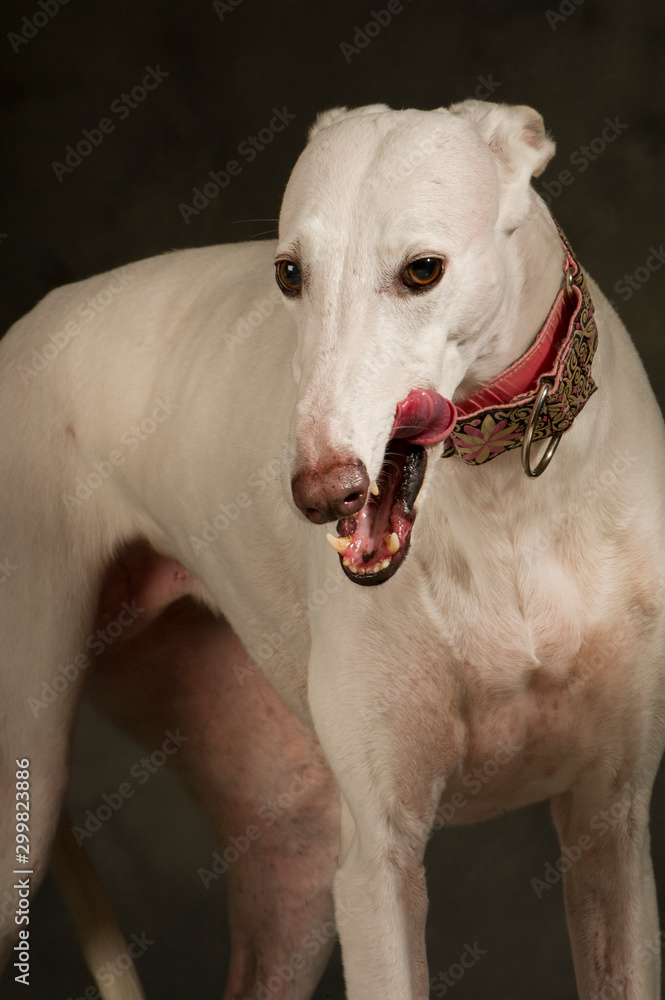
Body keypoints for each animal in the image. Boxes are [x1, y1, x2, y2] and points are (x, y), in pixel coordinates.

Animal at [1, 101, 664, 1000]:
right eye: (289, 274)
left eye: (422, 270)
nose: (323, 491)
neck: (505, 503)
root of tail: (24, 328)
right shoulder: (378, 862)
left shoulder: (610, 824)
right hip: (31, 785)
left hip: (293, 846)